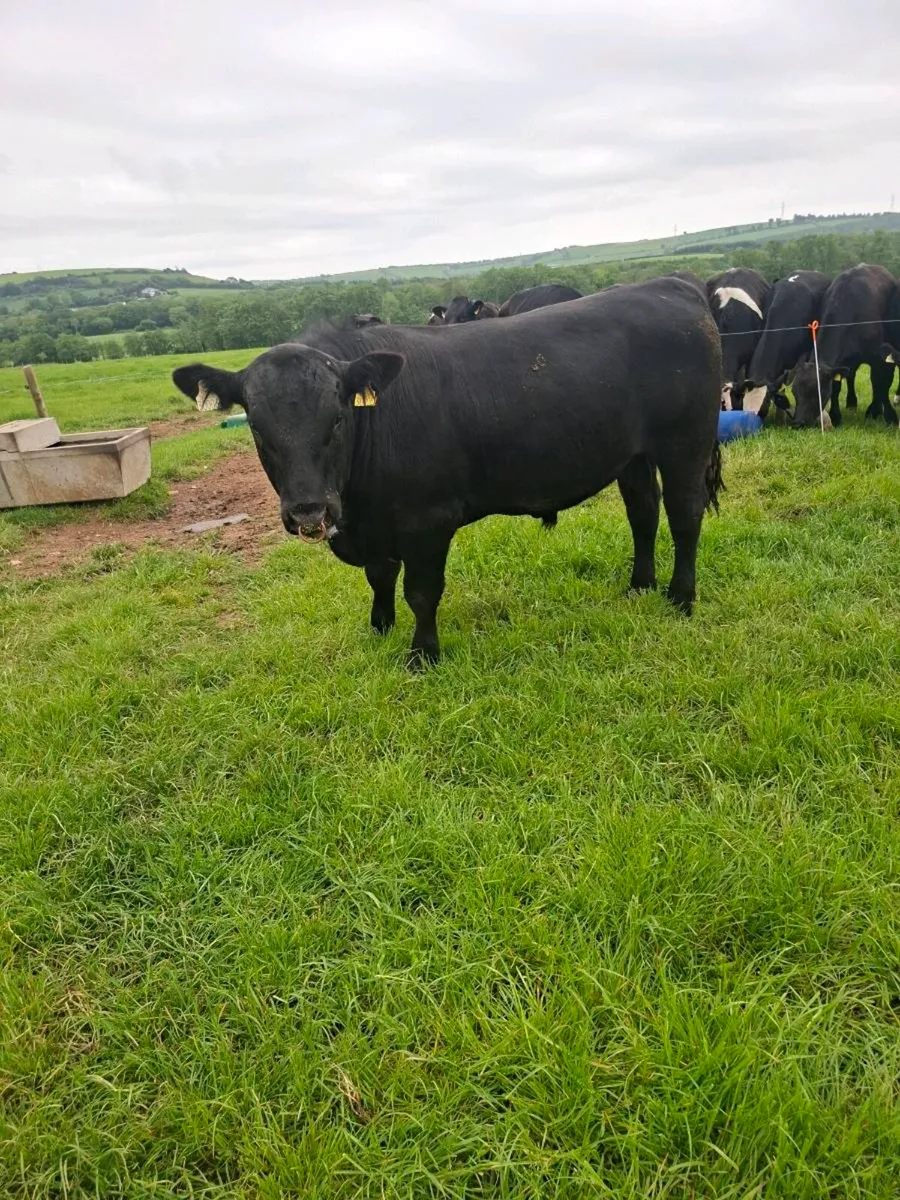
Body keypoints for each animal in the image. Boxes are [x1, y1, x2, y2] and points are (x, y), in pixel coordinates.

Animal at [172, 278, 723, 668]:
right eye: (257, 427)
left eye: (337, 418)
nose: (309, 510)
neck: (356, 509)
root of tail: (669, 284)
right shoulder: (375, 522)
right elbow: (379, 576)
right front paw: (379, 627)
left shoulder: (427, 520)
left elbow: (421, 591)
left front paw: (423, 654)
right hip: (633, 455)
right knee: (643, 513)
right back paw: (639, 586)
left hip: (685, 442)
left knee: (684, 515)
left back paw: (680, 598)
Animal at [788, 264, 897, 428]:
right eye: (794, 392)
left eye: (816, 394)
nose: (798, 422)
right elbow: (836, 386)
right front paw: (836, 416)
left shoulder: (880, 358)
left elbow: (880, 384)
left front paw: (884, 414)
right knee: (851, 376)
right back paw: (851, 403)